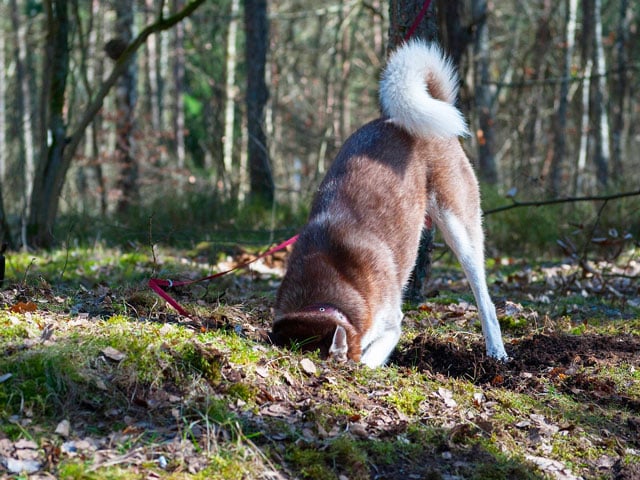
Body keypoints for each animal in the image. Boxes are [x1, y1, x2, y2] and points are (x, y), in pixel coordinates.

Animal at [272, 40, 508, 368]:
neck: (321, 297)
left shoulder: (390, 323)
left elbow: (367, 359)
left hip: (460, 230)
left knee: (485, 301)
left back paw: (497, 351)